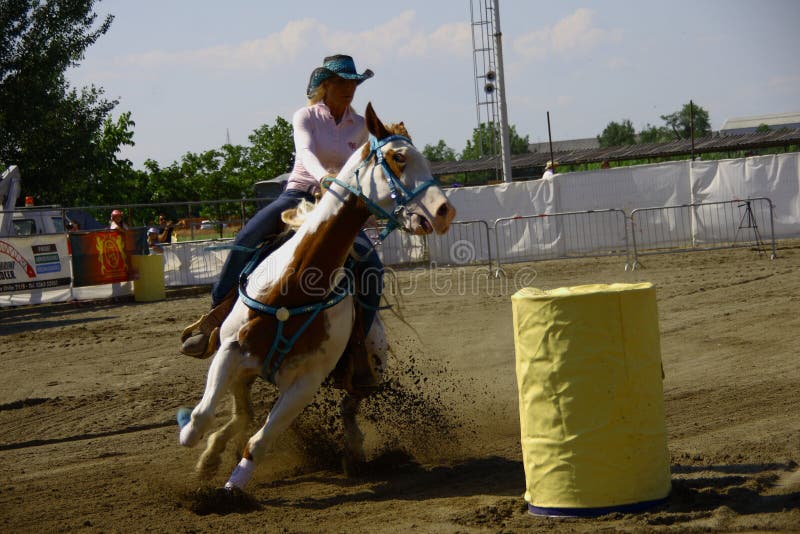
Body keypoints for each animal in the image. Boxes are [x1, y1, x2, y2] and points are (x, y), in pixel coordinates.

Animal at [180, 102, 456, 492]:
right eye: (398, 157)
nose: (445, 211)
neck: (294, 284)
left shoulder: (306, 383)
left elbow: (259, 441)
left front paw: (232, 490)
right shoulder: (232, 350)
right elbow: (203, 415)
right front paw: (193, 440)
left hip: (367, 366)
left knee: (345, 408)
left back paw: (353, 451)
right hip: (245, 369)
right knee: (242, 412)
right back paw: (212, 453)